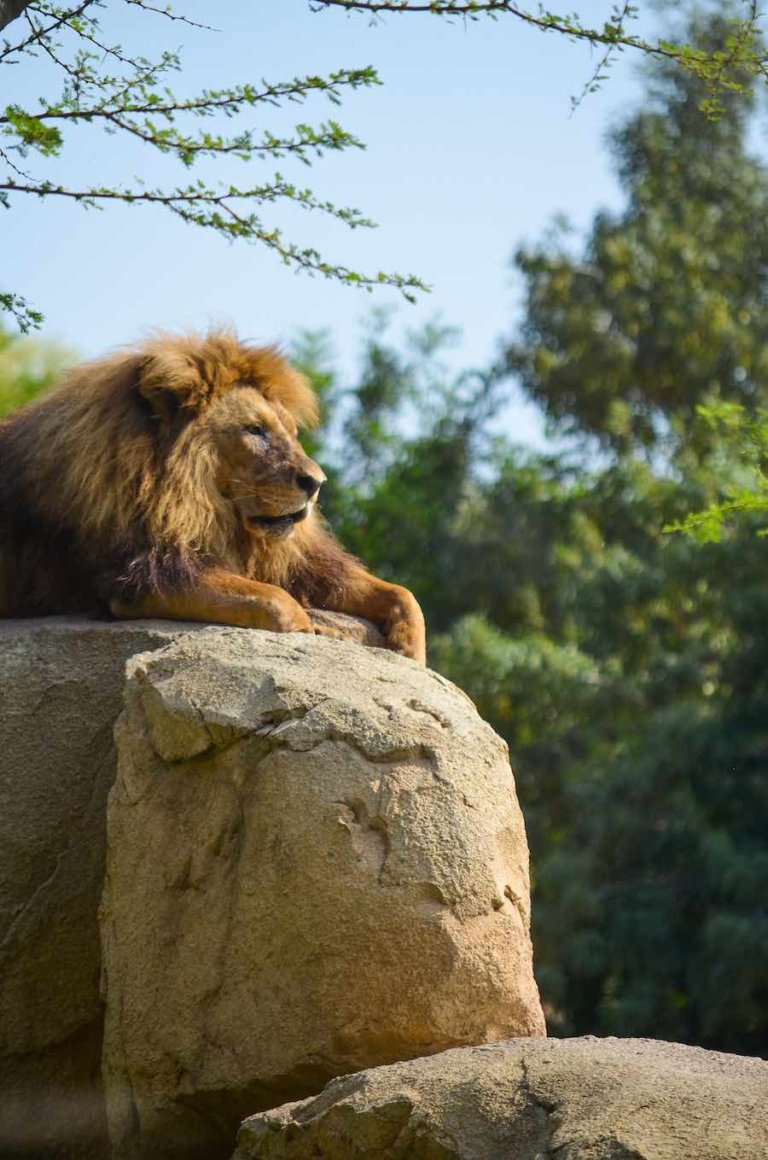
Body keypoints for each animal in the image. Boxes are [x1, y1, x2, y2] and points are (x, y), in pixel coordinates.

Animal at [0, 331, 426, 668]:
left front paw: (410, 653)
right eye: (254, 430)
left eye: (290, 431)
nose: (316, 482)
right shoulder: (139, 578)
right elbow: (275, 602)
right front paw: (315, 629)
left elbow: (402, 594)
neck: (205, 510)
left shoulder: (297, 562)